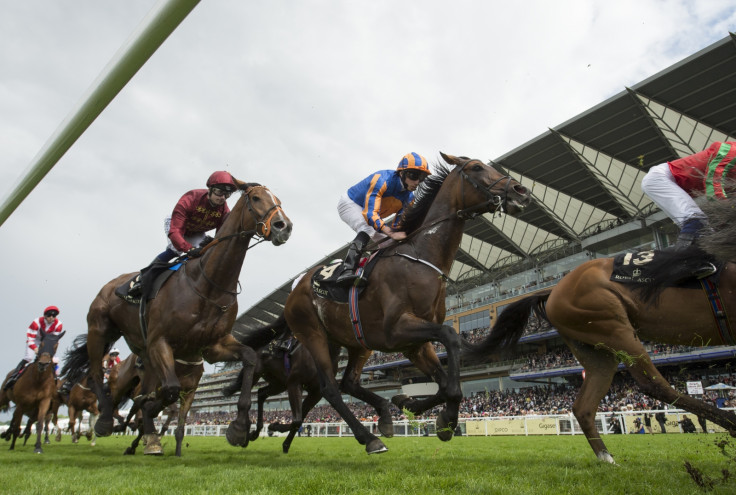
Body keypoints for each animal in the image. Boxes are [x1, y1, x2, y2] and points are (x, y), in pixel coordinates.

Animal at [64, 180, 292, 456]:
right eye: (257, 198)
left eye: (278, 199)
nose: (284, 226)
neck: (207, 284)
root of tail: (110, 285)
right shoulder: (161, 341)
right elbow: (169, 390)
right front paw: (148, 418)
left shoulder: (212, 346)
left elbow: (249, 357)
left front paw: (239, 428)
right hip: (99, 331)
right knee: (99, 375)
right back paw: (107, 421)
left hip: (142, 351)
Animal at [224, 316, 328, 456]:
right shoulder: (295, 383)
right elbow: (297, 420)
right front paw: (274, 427)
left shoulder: (316, 392)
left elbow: (299, 420)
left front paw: (283, 440)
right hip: (257, 374)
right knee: (247, 393)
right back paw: (244, 431)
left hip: (279, 384)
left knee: (261, 393)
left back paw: (254, 432)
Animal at [282, 153, 528, 456]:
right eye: (476, 167)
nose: (521, 190)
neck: (421, 256)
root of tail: (296, 288)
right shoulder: (397, 330)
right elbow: (450, 337)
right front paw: (447, 417)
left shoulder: (415, 343)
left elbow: (442, 383)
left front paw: (414, 406)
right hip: (312, 334)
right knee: (330, 388)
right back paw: (369, 438)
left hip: (351, 342)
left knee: (346, 382)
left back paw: (384, 415)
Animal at [462, 242, 736, 464]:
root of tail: (553, 290)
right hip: (615, 327)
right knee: (653, 384)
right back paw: (731, 425)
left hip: (598, 350)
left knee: (583, 405)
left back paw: (606, 457)